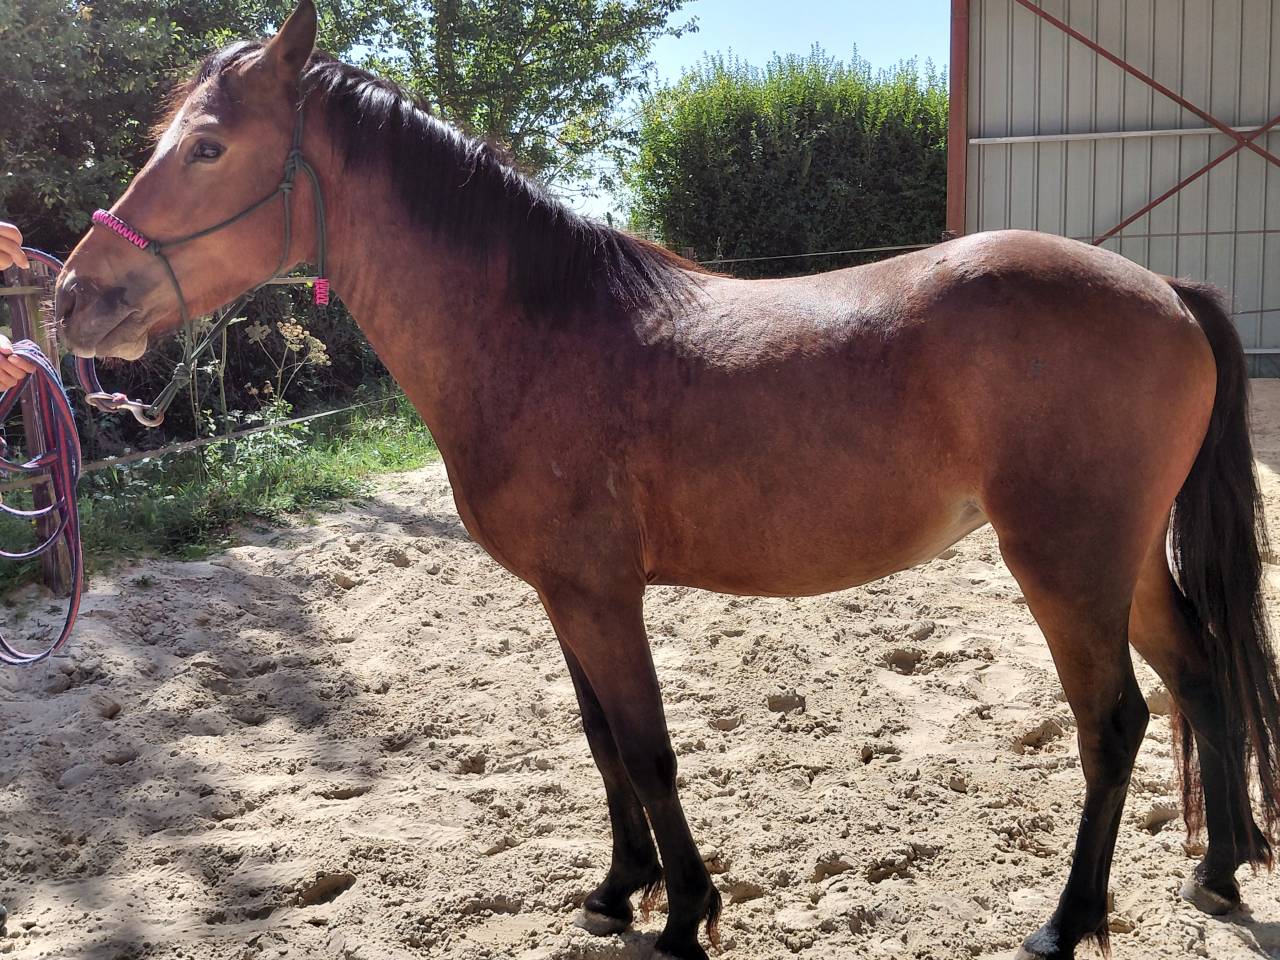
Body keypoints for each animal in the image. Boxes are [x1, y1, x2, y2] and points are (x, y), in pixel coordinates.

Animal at [54, 4, 1280, 957]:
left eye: (208, 149)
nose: (73, 297)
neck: (536, 333)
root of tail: (1166, 291)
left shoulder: (602, 595)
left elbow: (646, 747)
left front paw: (685, 910)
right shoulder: (567, 595)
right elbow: (603, 742)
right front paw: (616, 890)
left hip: (1064, 566)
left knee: (1113, 722)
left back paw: (1064, 924)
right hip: (1122, 561)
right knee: (1202, 675)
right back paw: (1218, 869)